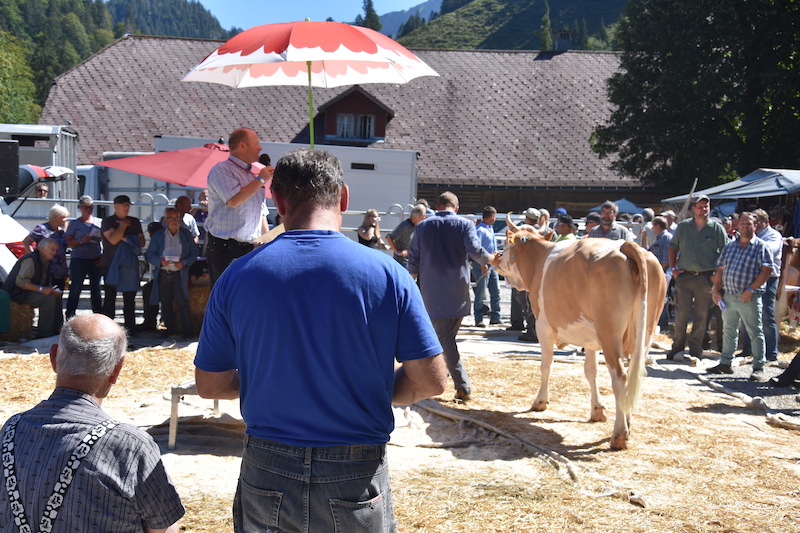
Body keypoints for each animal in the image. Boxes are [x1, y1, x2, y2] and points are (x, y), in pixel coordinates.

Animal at [491, 217, 667, 450]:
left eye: (507, 244)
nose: (496, 257)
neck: (539, 259)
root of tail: (628, 245)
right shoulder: (591, 339)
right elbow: (591, 371)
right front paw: (597, 411)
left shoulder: (543, 326)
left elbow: (546, 365)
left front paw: (540, 401)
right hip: (644, 333)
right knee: (633, 376)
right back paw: (627, 424)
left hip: (610, 334)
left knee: (619, 377)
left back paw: (619, 435)